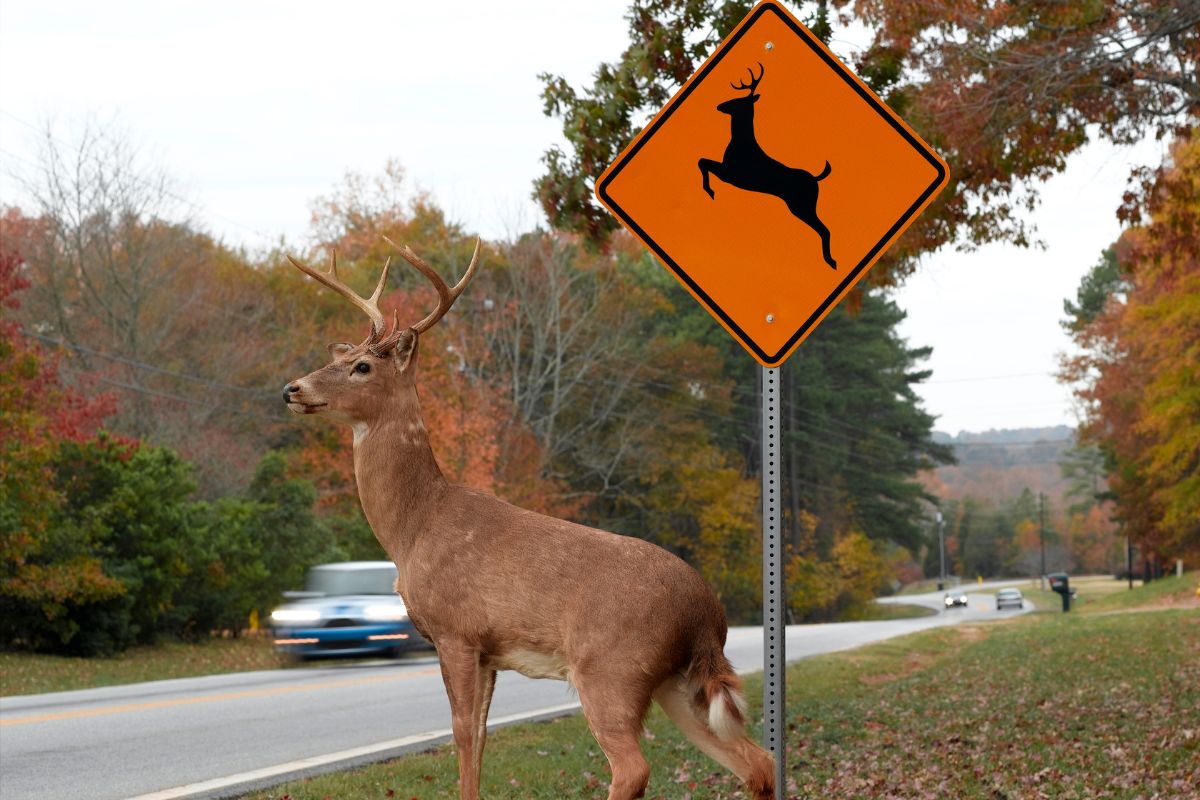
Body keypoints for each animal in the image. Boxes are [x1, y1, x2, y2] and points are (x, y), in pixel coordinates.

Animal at [282, 241, 775, 800]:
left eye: (362, 366)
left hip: (611, 668)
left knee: (633, 768)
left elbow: (461, 734)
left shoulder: (457, 631)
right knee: (756, 761)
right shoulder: (489, 653)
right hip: (678, 681)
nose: (292, 388)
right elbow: (479, 736)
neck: (414, 527)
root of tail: (707, 611)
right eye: (335, 358)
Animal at [699, 62, 837, 269]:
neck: (740, 142)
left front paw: (710, 191)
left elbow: (702, 162)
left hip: (802, 205)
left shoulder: (730, 174)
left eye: (739, 100)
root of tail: (815, 178)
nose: (719, 106)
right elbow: (702, 161)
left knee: (824, 229)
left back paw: (831, 261)